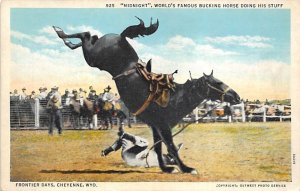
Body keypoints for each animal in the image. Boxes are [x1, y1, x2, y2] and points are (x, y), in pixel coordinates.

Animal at [54, 17, 240, 174]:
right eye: (218, 83)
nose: (237, 97)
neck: (176, 97)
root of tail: (121, 37)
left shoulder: (156, 126)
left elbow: (158, 147)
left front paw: (166, 168)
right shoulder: (163, 126)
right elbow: (170, 146)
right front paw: (186, 168)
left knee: (90, 36)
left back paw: (67, 40)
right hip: (95, 58)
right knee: (86, 35)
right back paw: (61, 33)